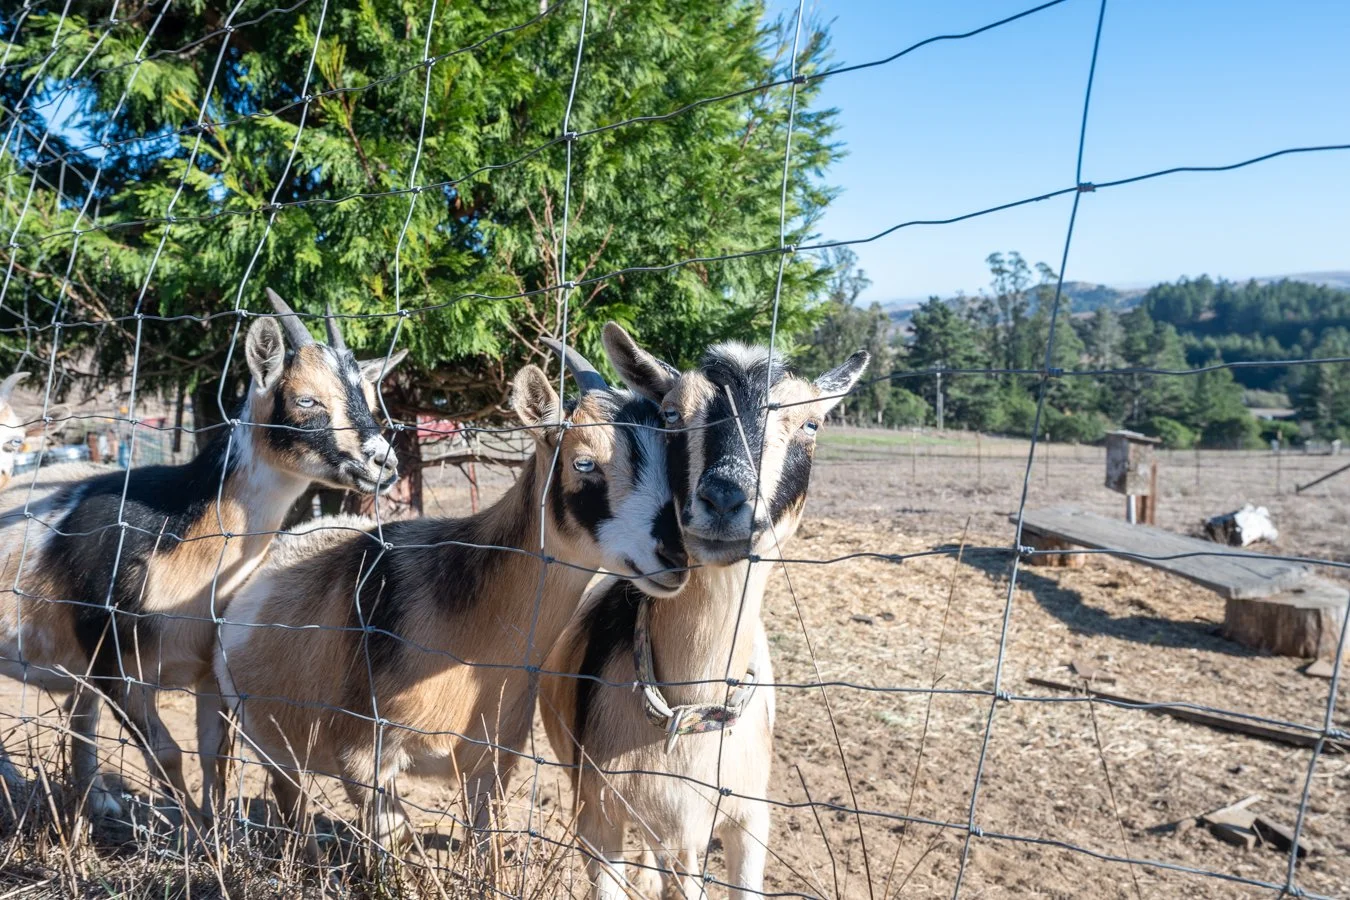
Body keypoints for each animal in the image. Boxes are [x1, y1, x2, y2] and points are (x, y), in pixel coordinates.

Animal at [0, 289, 407, 822]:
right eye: (306, 398)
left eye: (371, 399)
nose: (384, 463)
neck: (178, 536)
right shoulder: (116, 667)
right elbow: (167, 754)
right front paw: (191, 832)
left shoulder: (206, 669)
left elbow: (216, 755)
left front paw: (216, 834)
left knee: (81, 720)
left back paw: (98, 802)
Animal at [211, 343, 689, 858]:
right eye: (584, 463)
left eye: (673, 458)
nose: (675, 555)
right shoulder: (361, 755)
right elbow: (396, 848)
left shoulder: (491, 761)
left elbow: (486, 846)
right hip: (264, 736)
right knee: (288, 796)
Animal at [541, 323, 867, 900]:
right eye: (672, 414)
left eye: (810, 423)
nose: (723, 498)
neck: (691, 708)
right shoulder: (596, 814)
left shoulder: (750, 817)